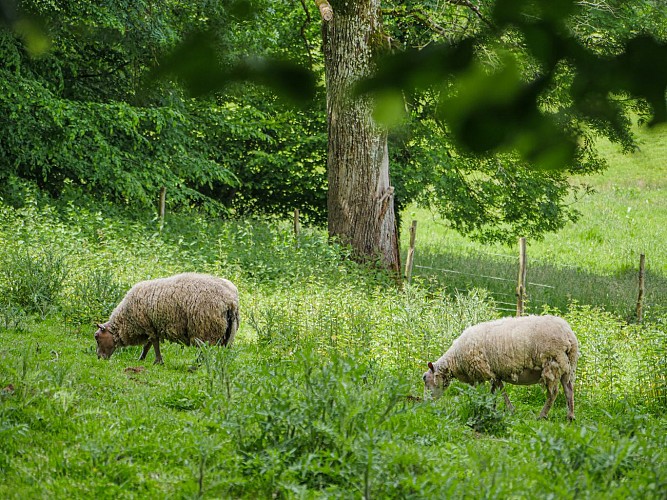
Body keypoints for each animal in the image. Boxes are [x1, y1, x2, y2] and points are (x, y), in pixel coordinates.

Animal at [94, 272, 240, 366]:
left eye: (97, 337)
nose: (99, 358)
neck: (126, 319)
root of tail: (230, 301)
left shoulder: (147, 324)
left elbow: (154, 343)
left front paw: (158, 361)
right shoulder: (151, 326)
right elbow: (148, 345)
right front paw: (142, 359)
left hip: (205, 327)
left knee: (204, 349)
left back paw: (197, 365)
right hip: (228, 332)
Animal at [428, 314, 580, 420]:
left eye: (425, 379)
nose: (426, 403)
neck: (455, 359)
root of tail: (569, 335)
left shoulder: (486, 372)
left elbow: (500, 391)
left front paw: (508, 409)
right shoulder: (494, 373)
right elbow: (494, 392)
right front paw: (492, 408)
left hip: (552, 364)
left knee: (553, 393)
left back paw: (542, 415)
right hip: (567, 366)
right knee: (569, 390)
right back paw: (570, 416)